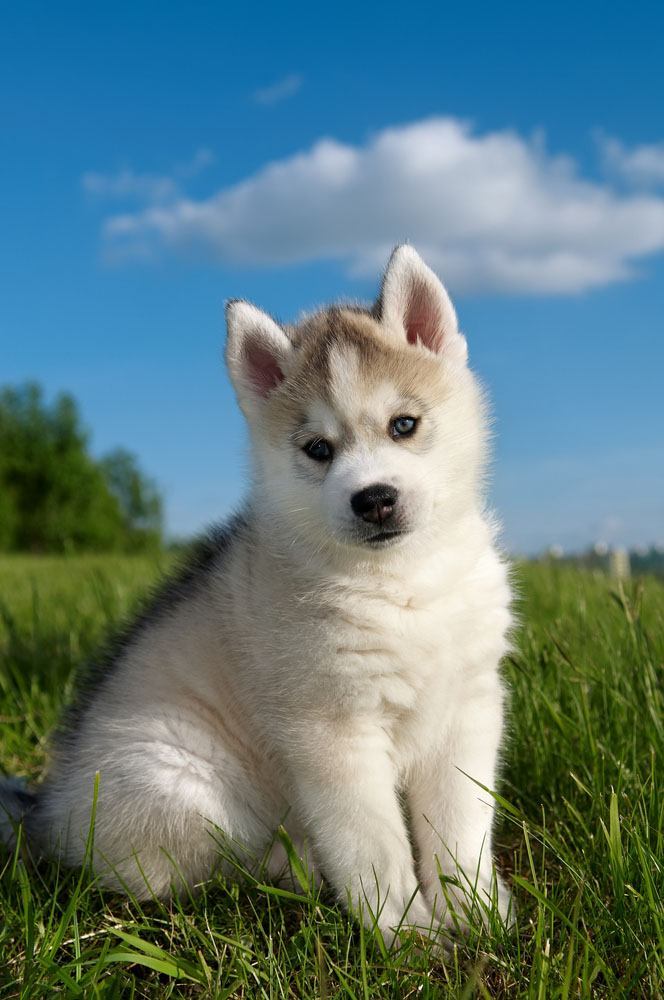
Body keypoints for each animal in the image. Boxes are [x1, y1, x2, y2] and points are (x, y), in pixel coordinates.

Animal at [0, 246, 510, 940]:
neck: (400, 584)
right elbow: (373, 843)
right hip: (182, 785)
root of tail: (45, 813)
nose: (374, 499)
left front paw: (478, 915)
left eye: (404, 424)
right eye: (318, 449)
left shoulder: (467, 710)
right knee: (208, 870)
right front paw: (406, 935)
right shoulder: (332, 731)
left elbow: (461, 828)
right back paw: (298, 872)